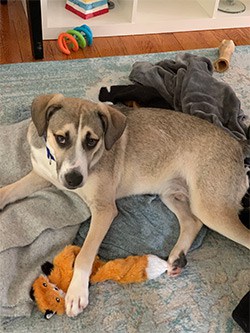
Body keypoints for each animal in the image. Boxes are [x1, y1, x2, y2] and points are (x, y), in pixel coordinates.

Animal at [0, 94, 249, 316]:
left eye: (92, 141)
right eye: (61, 138)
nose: (73, 180)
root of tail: (237, 145)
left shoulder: (104, 209)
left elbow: (85, 254)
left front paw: (76, 293)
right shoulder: (43, 175)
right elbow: (9, 190)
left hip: (211, 208)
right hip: (172, 195)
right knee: (192, 221)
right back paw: (177, 256)